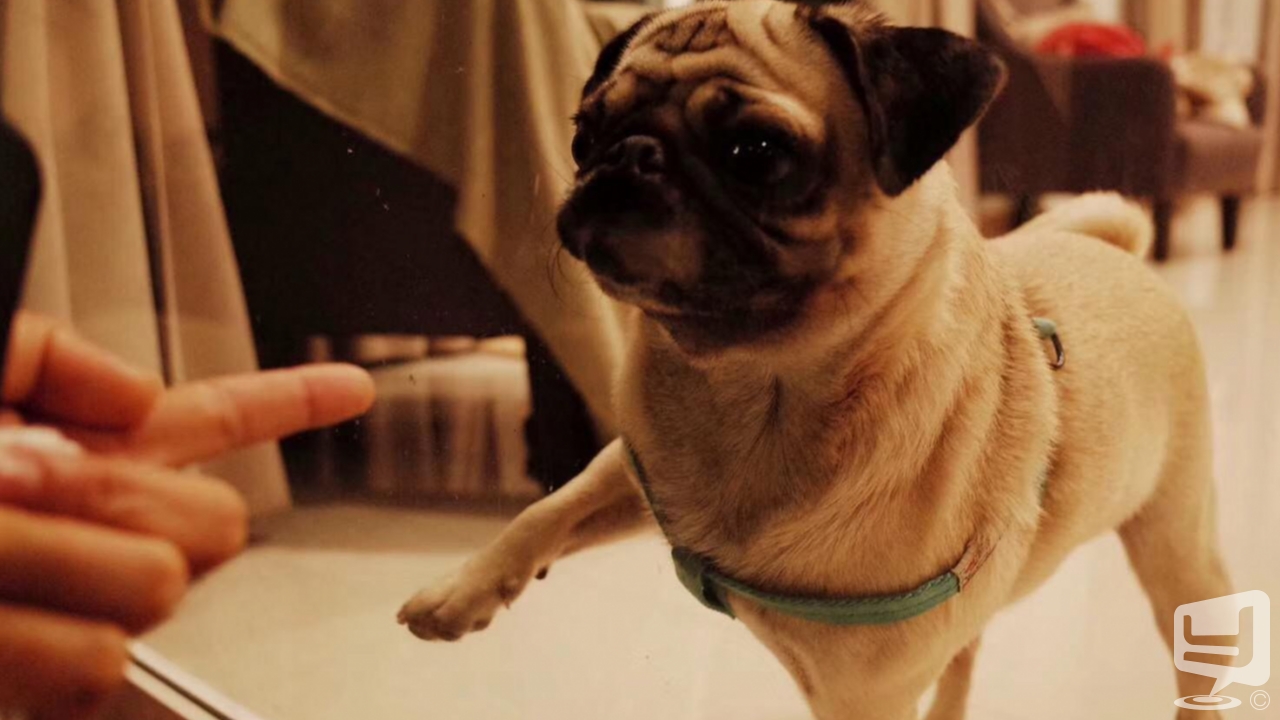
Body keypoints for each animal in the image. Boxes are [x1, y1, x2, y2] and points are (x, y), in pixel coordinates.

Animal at [399, 2, 1229, 718]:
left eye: (757, 153)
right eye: (582, 134)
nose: (628, 157)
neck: (751, 387)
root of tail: (1115, 249)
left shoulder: (863, 695)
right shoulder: (634, 471)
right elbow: (546, 509)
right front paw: (459, 592)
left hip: (1176, 543)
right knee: (965, 653)